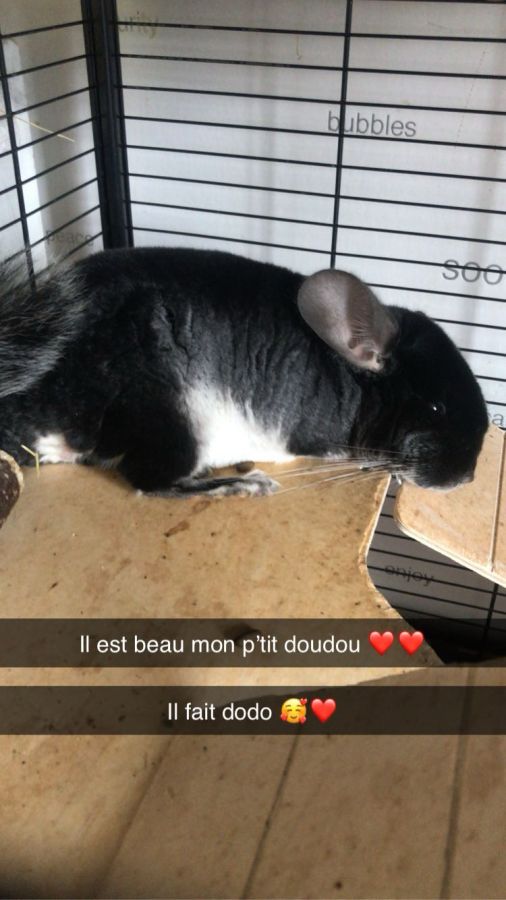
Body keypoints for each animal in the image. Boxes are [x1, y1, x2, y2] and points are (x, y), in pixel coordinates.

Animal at [0, 246, 489, 497]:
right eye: (436, 407)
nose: (466, 478)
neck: (348, 383)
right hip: (168, 414)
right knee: (149, 481)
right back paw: (244, 484)